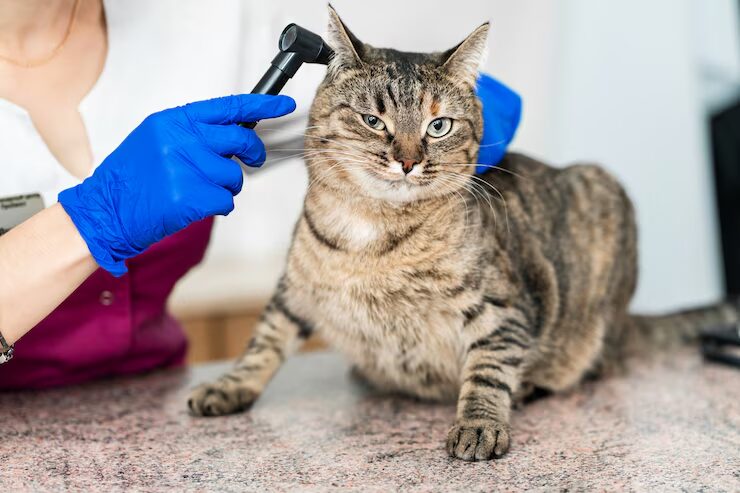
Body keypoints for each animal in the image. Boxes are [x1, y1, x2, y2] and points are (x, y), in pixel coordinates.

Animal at [188, 5, 736, 460]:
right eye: (373, 120)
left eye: (439, 126)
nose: (409, 161)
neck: (373, 236)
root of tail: (626, 323)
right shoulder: (294, 289)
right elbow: (264, 340)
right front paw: (229, 385)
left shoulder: (503, 307)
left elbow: (488, 371)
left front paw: (479, 424)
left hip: (603, 208)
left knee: (592, 364)